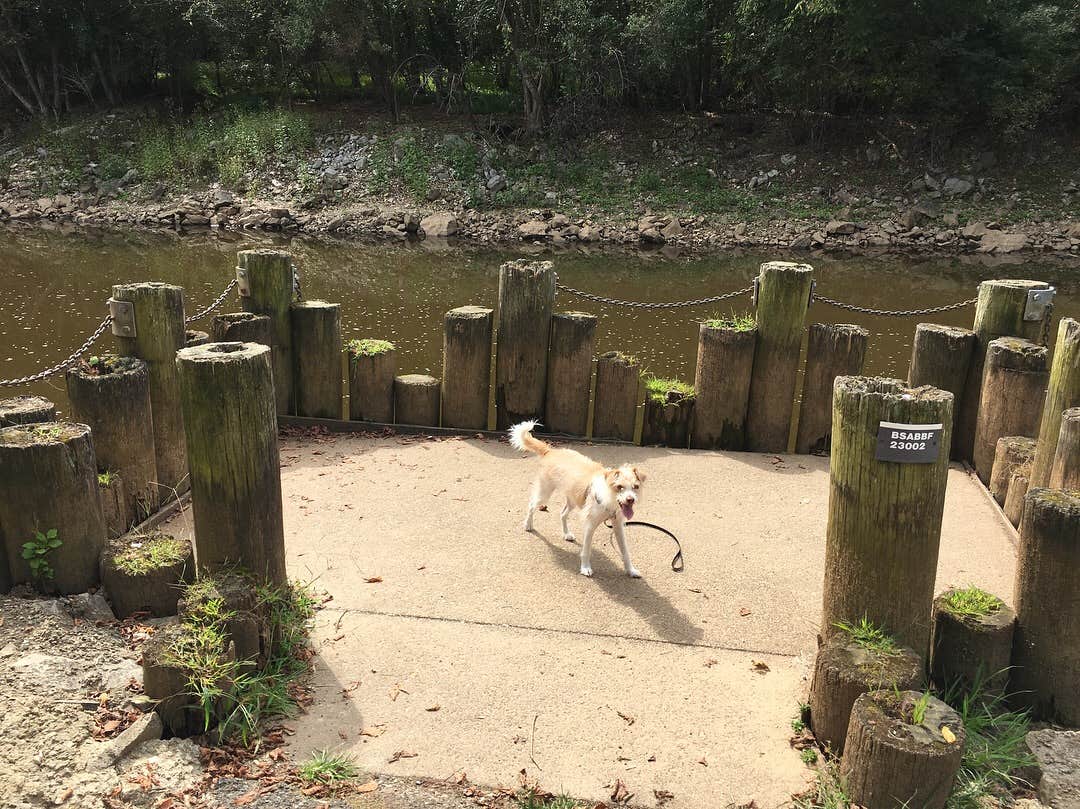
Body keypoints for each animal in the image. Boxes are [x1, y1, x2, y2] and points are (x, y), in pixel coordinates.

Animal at [509, 419, 643, 578]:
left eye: (635, 487)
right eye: (619, 487)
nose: (630, 500)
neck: (609, 496)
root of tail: (550, 451)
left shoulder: (618, 527)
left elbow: (625, 552)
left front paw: (631, 570)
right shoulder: (590, 525)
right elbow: (586, 550)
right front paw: (585, 568)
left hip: (573, 500)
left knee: (562, 514)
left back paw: (566, 534)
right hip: (544, 494)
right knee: (531, 505)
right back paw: (528, 525)